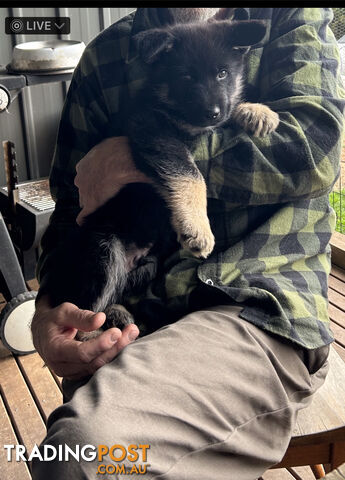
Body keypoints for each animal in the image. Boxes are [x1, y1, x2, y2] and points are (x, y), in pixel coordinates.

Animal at [45, 18, 278, 338]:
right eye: (186, 77)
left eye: (223, 73)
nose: (212, 112)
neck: (169, 103)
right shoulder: (153, 131)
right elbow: (191, 173)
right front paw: (197, 227)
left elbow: (228, 113)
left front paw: (255, 111)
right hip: (103, 249)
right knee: (85, 308)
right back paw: (94, 330)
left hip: (147, 266)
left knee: (117, 290)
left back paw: (117, 312)